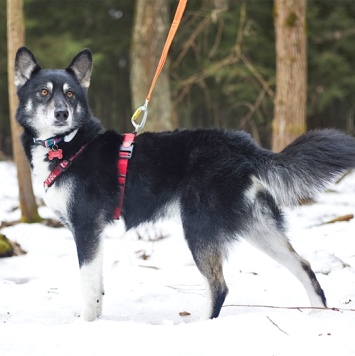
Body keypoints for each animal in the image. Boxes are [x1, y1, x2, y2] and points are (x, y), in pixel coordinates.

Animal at [13, 46, 355, 322]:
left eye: (70, 94)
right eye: (43, 93)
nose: (62, 113)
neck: (68, 145)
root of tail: (242, 145)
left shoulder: (85, 227)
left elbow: (88, 285)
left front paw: (86, 325)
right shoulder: (92, 232)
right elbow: (96, 286)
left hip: (198, 227)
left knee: (219, 286)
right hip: (256, 227)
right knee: (304, 265)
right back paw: (318, 316)